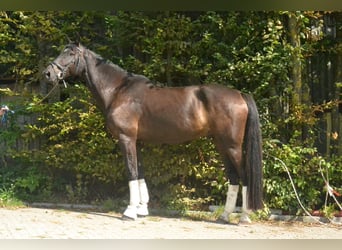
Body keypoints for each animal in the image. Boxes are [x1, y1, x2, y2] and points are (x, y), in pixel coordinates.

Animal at [42, 42, 262, 223]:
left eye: (70, 53)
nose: (48, 73)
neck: (118, 91)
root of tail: (239, 94)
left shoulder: (126, 138)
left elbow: (131, 172)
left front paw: (130, 212)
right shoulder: (136, 141)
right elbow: (140, 171)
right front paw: (142, 210)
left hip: (232, 146)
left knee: (244, 176)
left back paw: (244, 216)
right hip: (221, 145)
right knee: (233, 177)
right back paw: (224, 216)